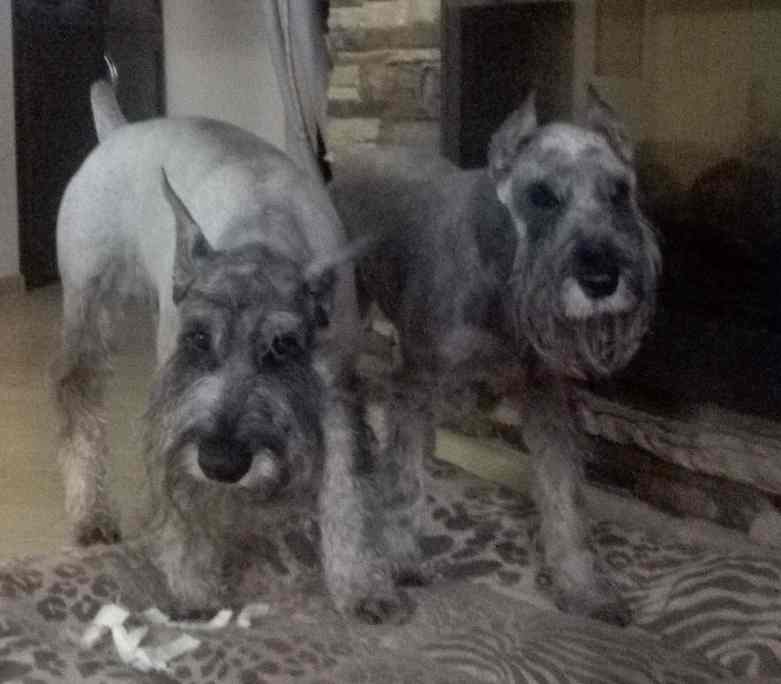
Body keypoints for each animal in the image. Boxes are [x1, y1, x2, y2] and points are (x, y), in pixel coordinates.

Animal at [53, 79, 408, 622]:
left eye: (283, 347)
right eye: (198, 339)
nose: (222, 464)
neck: (263, 236)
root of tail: (118, 131)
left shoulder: (337, 393)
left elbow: (346, 488)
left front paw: (359, 584)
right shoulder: (179, 396)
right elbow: (185, 500)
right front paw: (194, 588)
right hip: (87, 312)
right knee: (80, 405)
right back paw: (91, 515)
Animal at [330, 87, 661, 624]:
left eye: (619, 192)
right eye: (541, 196)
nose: (601, 278)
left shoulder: (547, 399)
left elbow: (563, 495)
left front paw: (584, 588)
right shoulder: (414, 381)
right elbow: (405, 477)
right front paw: (400, 558)